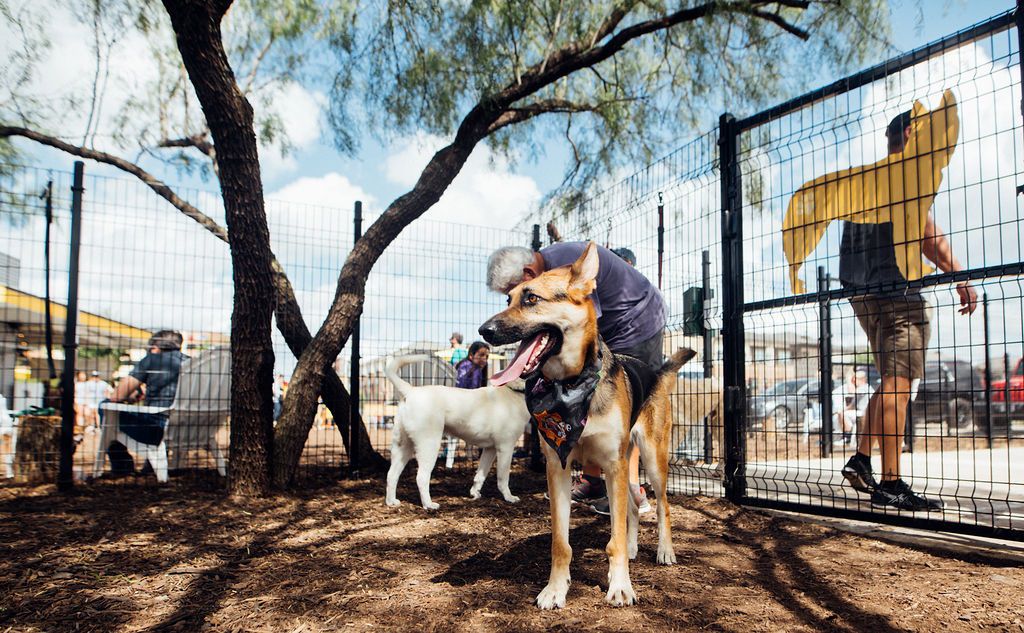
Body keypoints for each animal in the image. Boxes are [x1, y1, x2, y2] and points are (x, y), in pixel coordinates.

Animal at [382, 354, 528, 508]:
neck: (513, 391)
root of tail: (411, 390)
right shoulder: (506, 448)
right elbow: (503, 478)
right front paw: (509, 497)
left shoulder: (490, 449)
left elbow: (480, 475)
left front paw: (474, 494)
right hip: (429, 446)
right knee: (421, 477)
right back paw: (429, 505)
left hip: (402, 447)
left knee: (391, 475)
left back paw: (391, 502)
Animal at [481, 238, 696, 602]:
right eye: (508, 299)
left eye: (531, 298)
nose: (484, 330)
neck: (570, 385)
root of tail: (654, 372)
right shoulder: (559, 466)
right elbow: (561, 542)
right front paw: (556, 589)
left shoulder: (612, 464)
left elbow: (614, 539)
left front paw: (620, 585)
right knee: (634, 507)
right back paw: (634, 548)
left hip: (652, 459)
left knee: (662, 506)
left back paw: (664, 551)